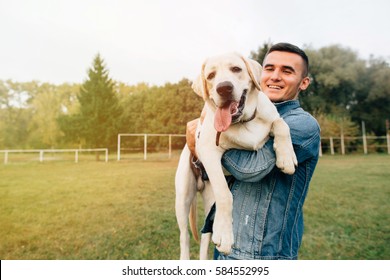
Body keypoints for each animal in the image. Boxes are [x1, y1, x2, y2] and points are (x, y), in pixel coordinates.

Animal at [175, 53, 298, 260]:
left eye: (236, 69)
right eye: (211, 76)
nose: (224, 87)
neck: (243, 122)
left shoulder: (272, 117)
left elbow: (282, 124)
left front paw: (287, 157)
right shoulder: (209, 151)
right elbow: (226, 195)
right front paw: (225, 235)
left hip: (209, 201)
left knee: (205, 235)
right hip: (183, 198)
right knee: (184, 237)